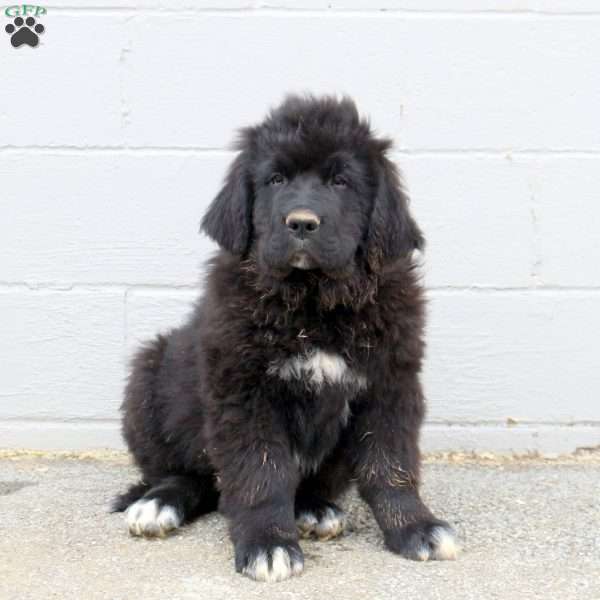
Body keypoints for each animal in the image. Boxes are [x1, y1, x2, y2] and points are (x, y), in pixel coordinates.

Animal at [112, 95, 460, 580]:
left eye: (340, 181)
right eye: (275, 179)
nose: (301, 223)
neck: (314, 302)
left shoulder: (390, 384)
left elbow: (391, 463)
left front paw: (415, 527)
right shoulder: (244, 392)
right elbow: (261, 472)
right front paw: (268, 544)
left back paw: (314, 508)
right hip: (148, 379)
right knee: (192, 476)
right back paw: (159, 503)